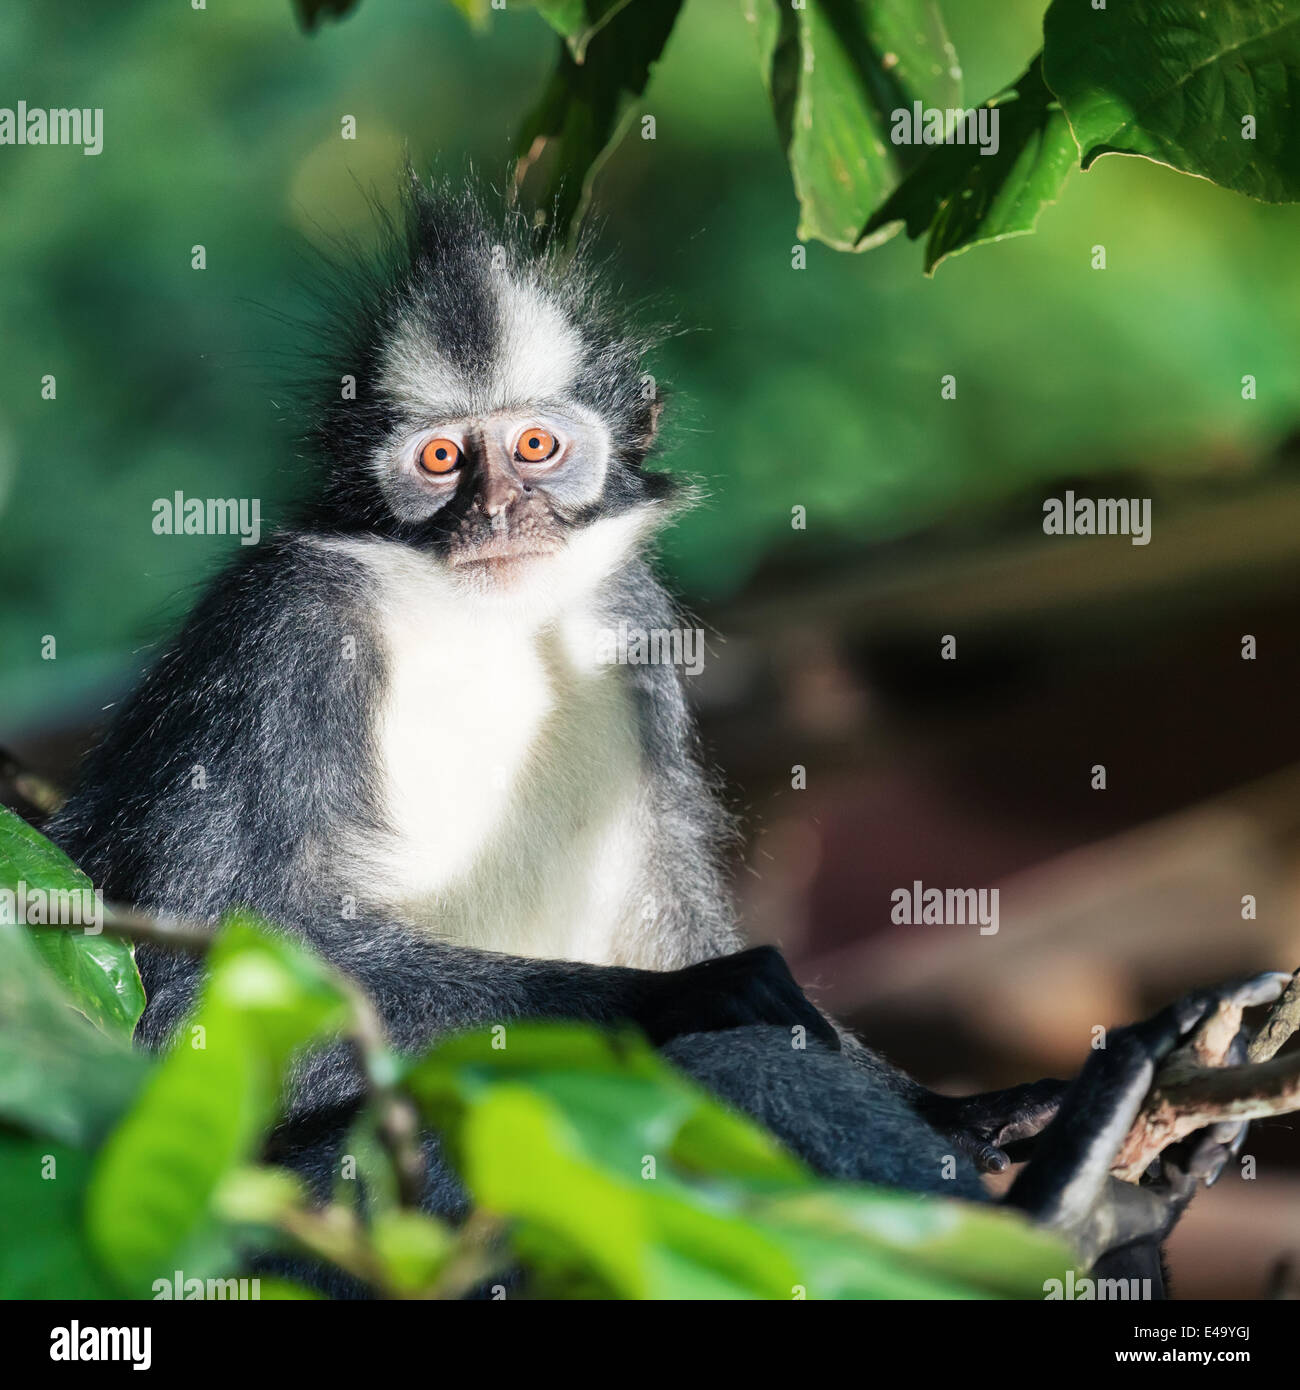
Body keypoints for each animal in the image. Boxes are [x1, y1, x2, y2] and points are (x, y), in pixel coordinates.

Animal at [44, 175, 1283, 1297]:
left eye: (535, 447)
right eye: (443, 460)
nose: (500, 513)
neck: (477, 613)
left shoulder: (628, 628)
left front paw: (975, 1106)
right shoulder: (285, 627)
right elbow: (195, 995)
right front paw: (692, 998)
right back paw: (1055, 1212)